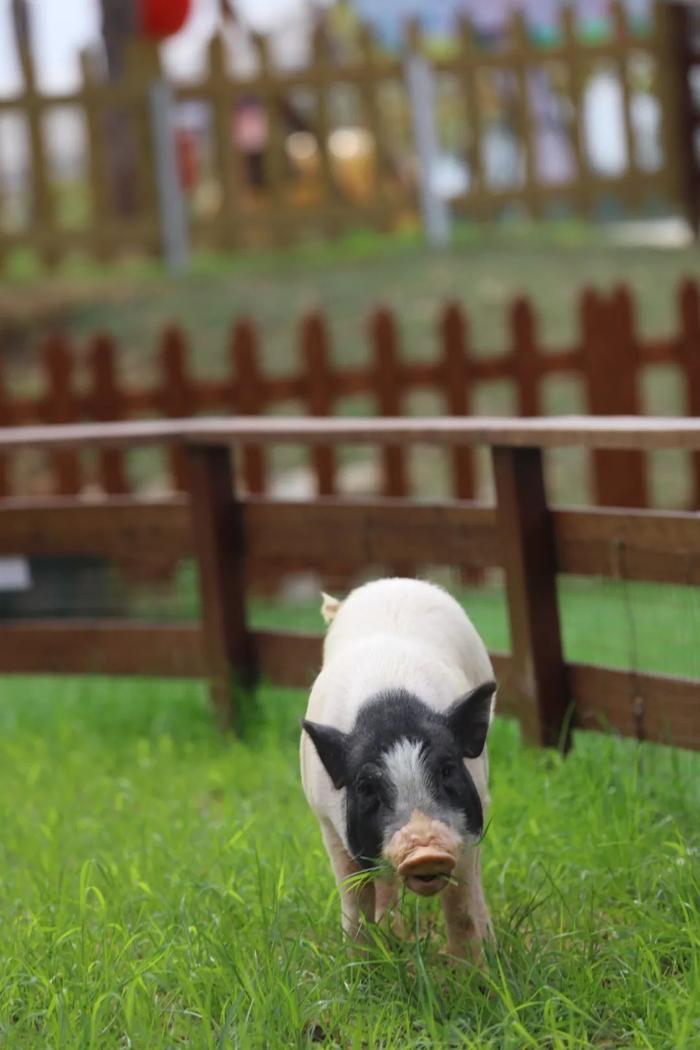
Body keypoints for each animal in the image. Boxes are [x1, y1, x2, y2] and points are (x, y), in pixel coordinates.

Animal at [302, 579, 497, 961]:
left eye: (447, 770)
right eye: (366, 787)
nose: (425, 852)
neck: (389, 709)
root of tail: (388, 583)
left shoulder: (471, 818)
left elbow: (461, 905)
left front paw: (473, 972)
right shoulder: (328, 824)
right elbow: (355, 901)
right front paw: (361, 966)